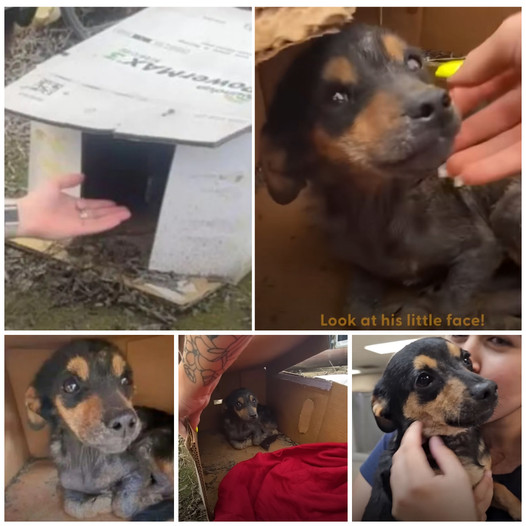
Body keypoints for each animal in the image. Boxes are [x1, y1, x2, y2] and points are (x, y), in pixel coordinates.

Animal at [24, 340, 174, 520]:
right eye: (70, 385)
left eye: (125, 380)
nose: (125, 421)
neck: (88, 457)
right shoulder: (67, 487)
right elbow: (72, 507)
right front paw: (100, 499)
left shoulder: (138, 470)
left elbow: (122, 505)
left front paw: (134, 498)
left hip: (146, 444)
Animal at [264, 24, 524, 326]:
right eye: (336, 97)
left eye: (414, 63)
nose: (436, 103)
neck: (382, 205)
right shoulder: (361, 265)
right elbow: (355, 310)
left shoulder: (481, 248)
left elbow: (450, 307)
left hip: (506, 212)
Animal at [366, 338, 520, 524]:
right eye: (424, 379)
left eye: (467, 359)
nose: (489, 388)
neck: (456, 437)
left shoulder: (485, 479)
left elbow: (500, 488)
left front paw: (518, 508)